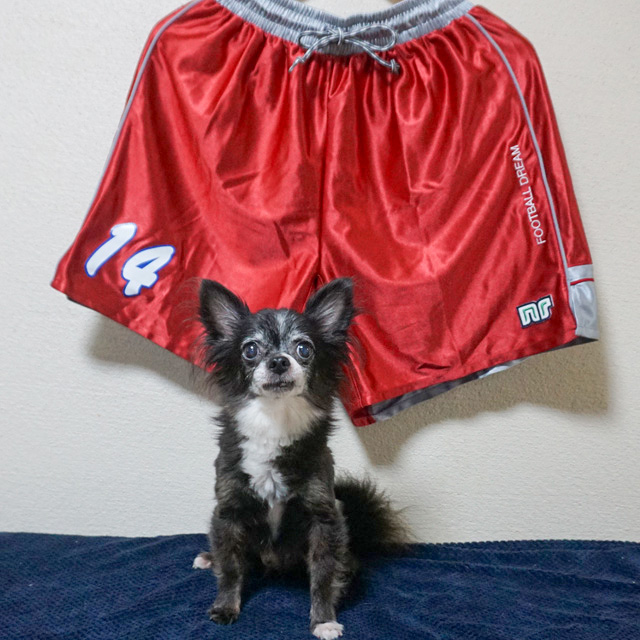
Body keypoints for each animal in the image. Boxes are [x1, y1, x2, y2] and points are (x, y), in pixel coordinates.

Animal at [193, 277, 408, 639]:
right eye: (250, 350)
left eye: (304, 349)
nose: (279, 361)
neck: (275, 423)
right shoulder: (229, 511)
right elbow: (232, 567)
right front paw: (225, 607)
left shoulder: (324, 519)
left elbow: (322, 575)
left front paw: (323, 620)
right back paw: (209, 557)